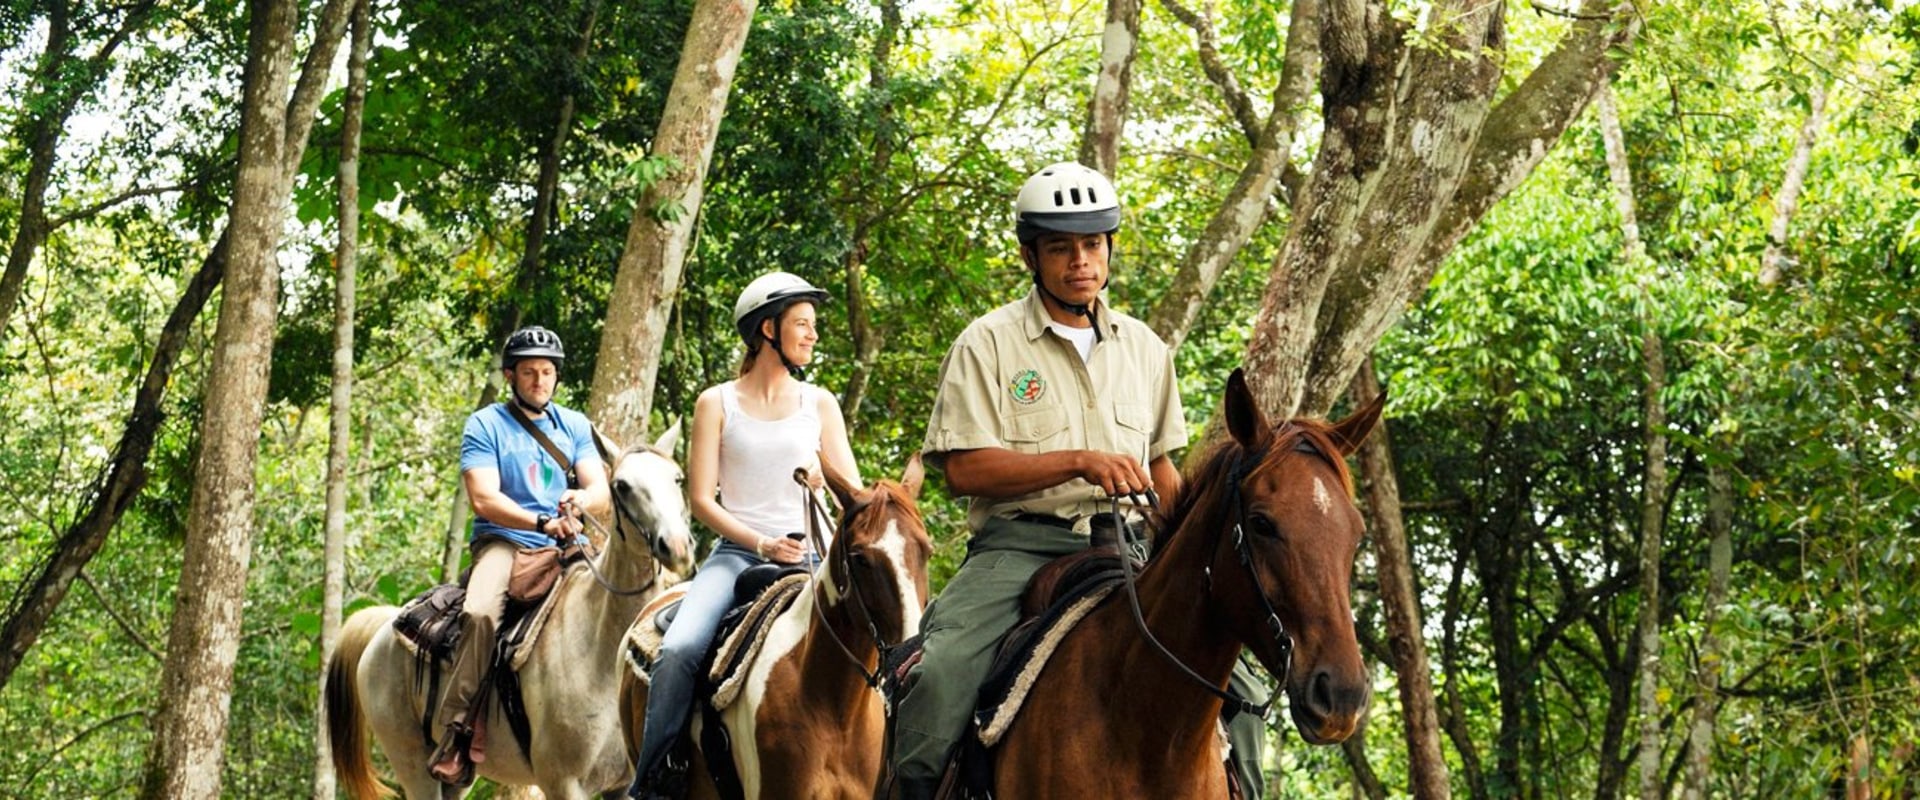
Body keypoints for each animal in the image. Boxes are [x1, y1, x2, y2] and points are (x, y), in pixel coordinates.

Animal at [326, 429, 695, 798]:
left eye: (677, 478)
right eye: (622, 485)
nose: (677, 546)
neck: (597, 647)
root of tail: (384, 627)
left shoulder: (622, 783)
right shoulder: (562, 781)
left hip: (454, 779)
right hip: (411, 761)